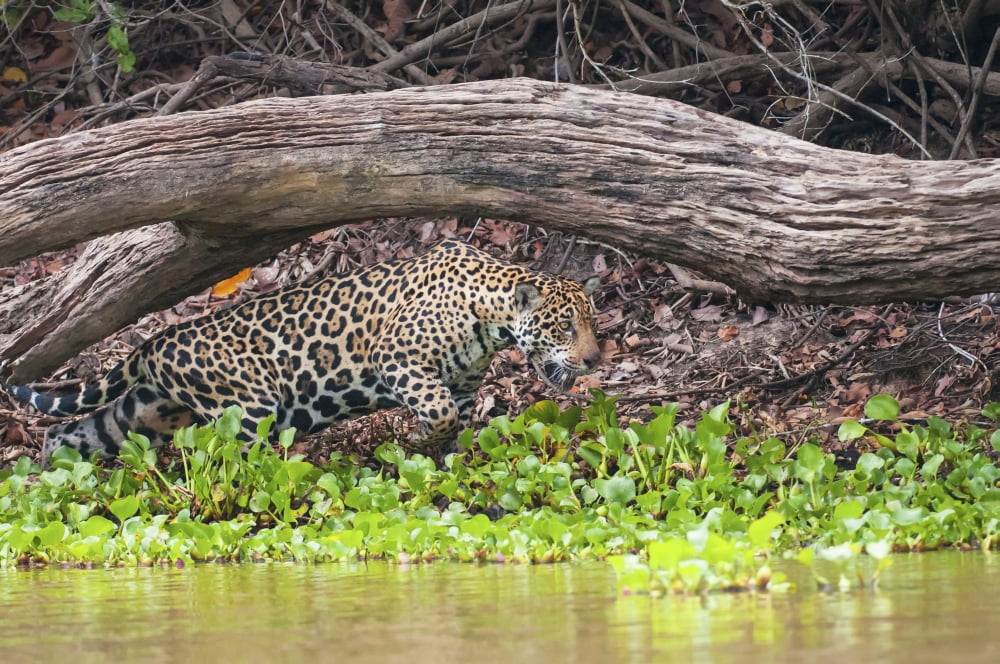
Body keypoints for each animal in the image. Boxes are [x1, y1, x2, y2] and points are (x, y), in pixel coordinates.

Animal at [1, 240, 601, 466]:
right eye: (565, 325)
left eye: (593, 322)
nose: (595, 359)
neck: (491, 315)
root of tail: (153, 342)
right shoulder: (399, 361)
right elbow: (438, 413)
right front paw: (415, 440)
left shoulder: (460, 383)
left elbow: (452, 423)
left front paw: (437, 461)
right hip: (247, 411)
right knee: (239, 463)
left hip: (146, 412)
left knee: (74, 431)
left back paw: (52, 475)